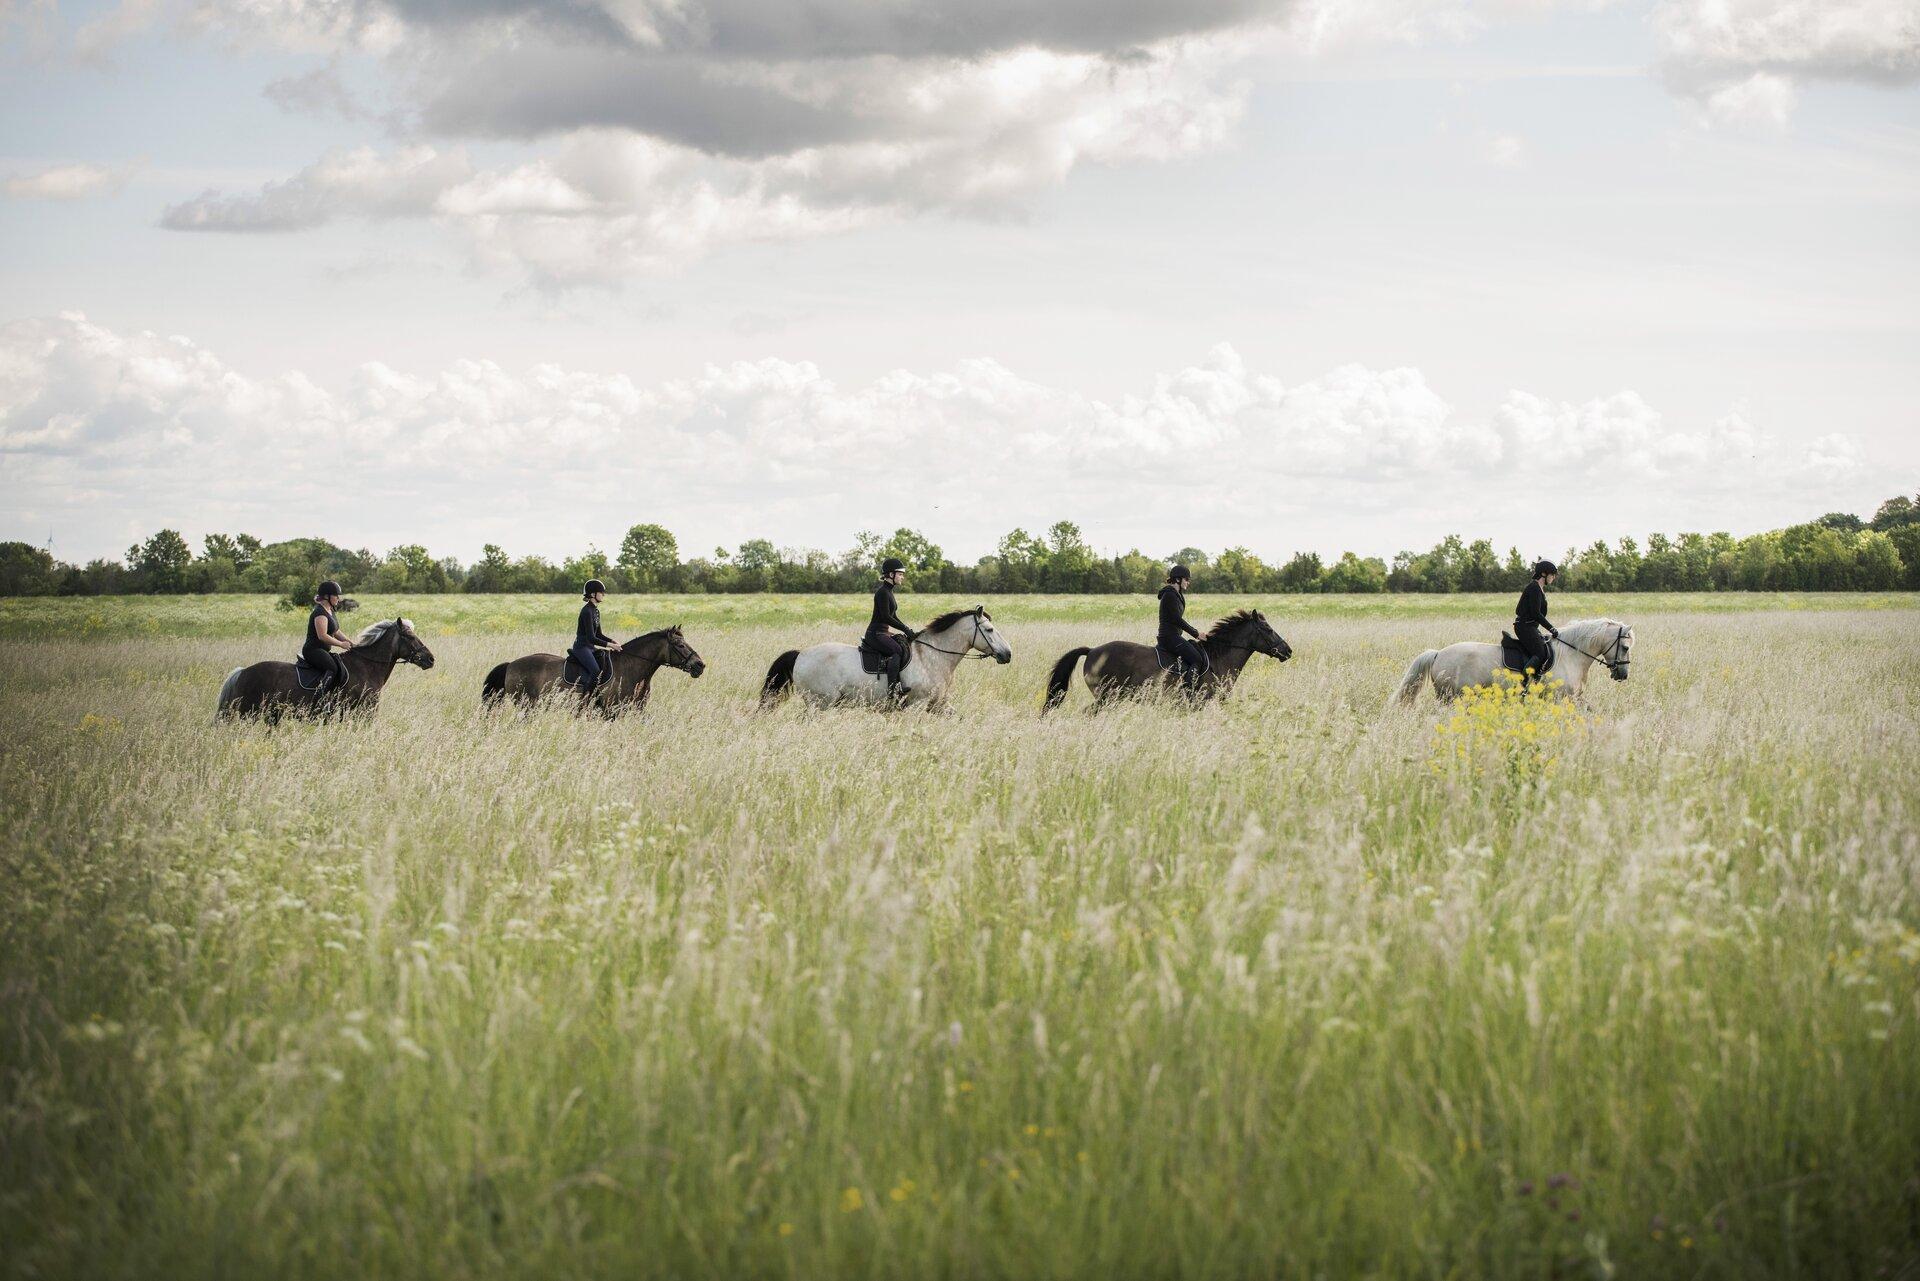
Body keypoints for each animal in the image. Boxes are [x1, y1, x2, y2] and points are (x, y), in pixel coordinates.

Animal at [216, 618, 435, 721]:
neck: (366, 666)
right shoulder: (363, 712)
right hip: (247, 713)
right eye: (410, 637)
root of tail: (242, 672)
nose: (430, 659)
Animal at [481, 626, 705, 716]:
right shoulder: (611, 712)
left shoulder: (637, 710)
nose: (700, 666)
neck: (632, 668)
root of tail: (511, 664)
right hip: (526, 705)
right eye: (680, 645)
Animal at [760, 606, 1012, 710]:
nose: (1007, 654)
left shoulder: (939, 705)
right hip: (820, 703)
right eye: (989, 629)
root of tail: (801, 654)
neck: (933, 656)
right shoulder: (916, 705)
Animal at [1389, 617, 1634, 708]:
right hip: (1451, 698)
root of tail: (1438, 653)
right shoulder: (1561, 698)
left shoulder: (1574, 698)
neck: (1571, 654)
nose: (1622, 675)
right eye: (1625, 647)